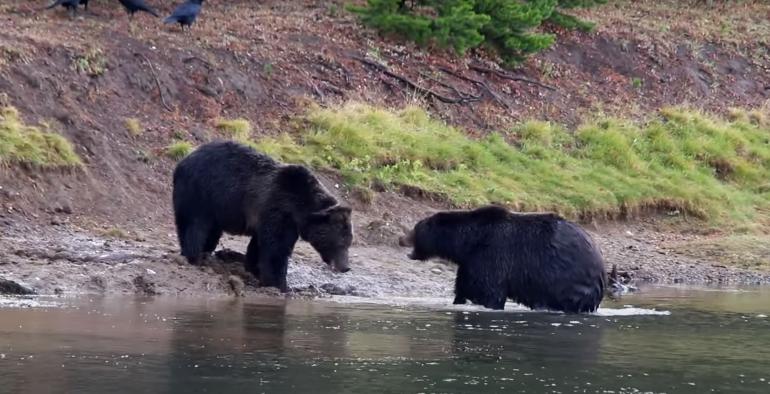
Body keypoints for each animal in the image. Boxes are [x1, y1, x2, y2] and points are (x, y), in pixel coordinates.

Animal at [171, 140, 352, 290]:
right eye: (341, 242)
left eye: (349, 242)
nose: (346, 267)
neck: (299, 208)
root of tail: (184, 159)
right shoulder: (278, 210)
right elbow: (276, 249)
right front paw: (280, 284)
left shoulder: (276, 219)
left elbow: (258, 245)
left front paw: (255, 269)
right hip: (202, 193)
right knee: (195, 225)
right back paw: (194, 256)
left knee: (210, 231)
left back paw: (206, 253)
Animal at [400, 206, 604, 314]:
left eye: (415, 229)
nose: (401, 238)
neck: (468, 242)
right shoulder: (470, 263)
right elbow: (464, 287)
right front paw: (459, 300)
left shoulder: (492, 255)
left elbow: (490, 292)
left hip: (567, 280)